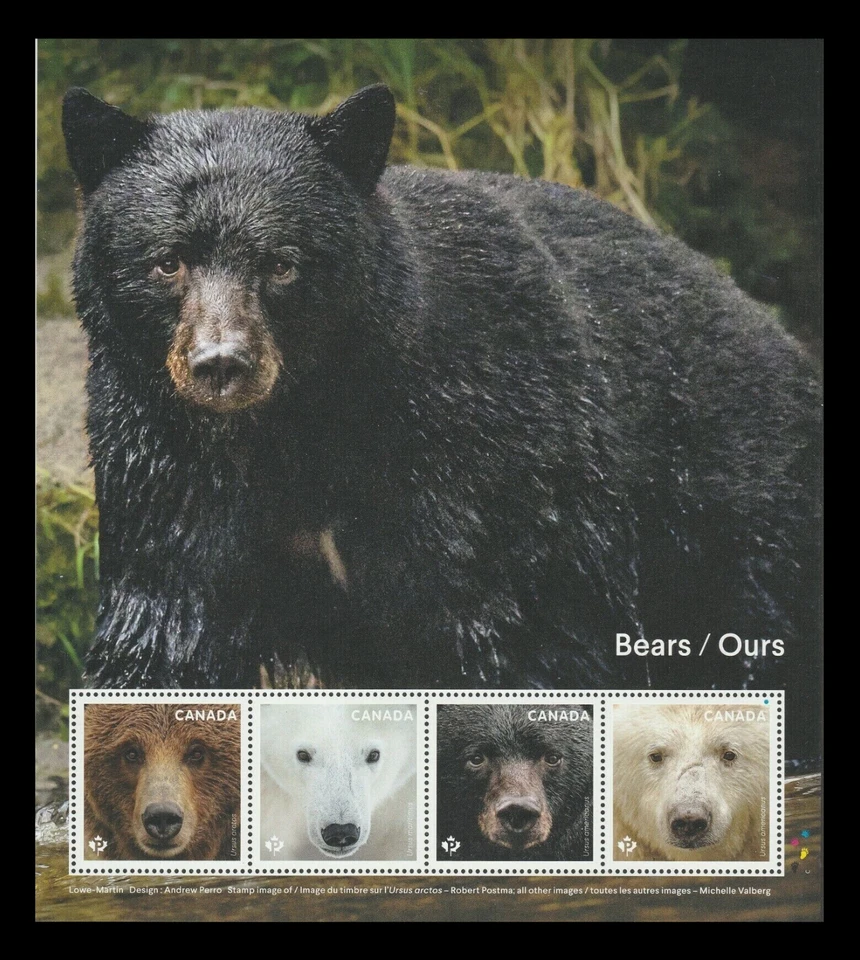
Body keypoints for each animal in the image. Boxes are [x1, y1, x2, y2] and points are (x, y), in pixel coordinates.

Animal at [61, 86, 821, 758]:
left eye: (282, 263)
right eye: (168, 260)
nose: (222, 363)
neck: (304, 419)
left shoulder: (487, 448)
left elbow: (523, 630)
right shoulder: (167, 454)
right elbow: (171, 617)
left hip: (739, 508)